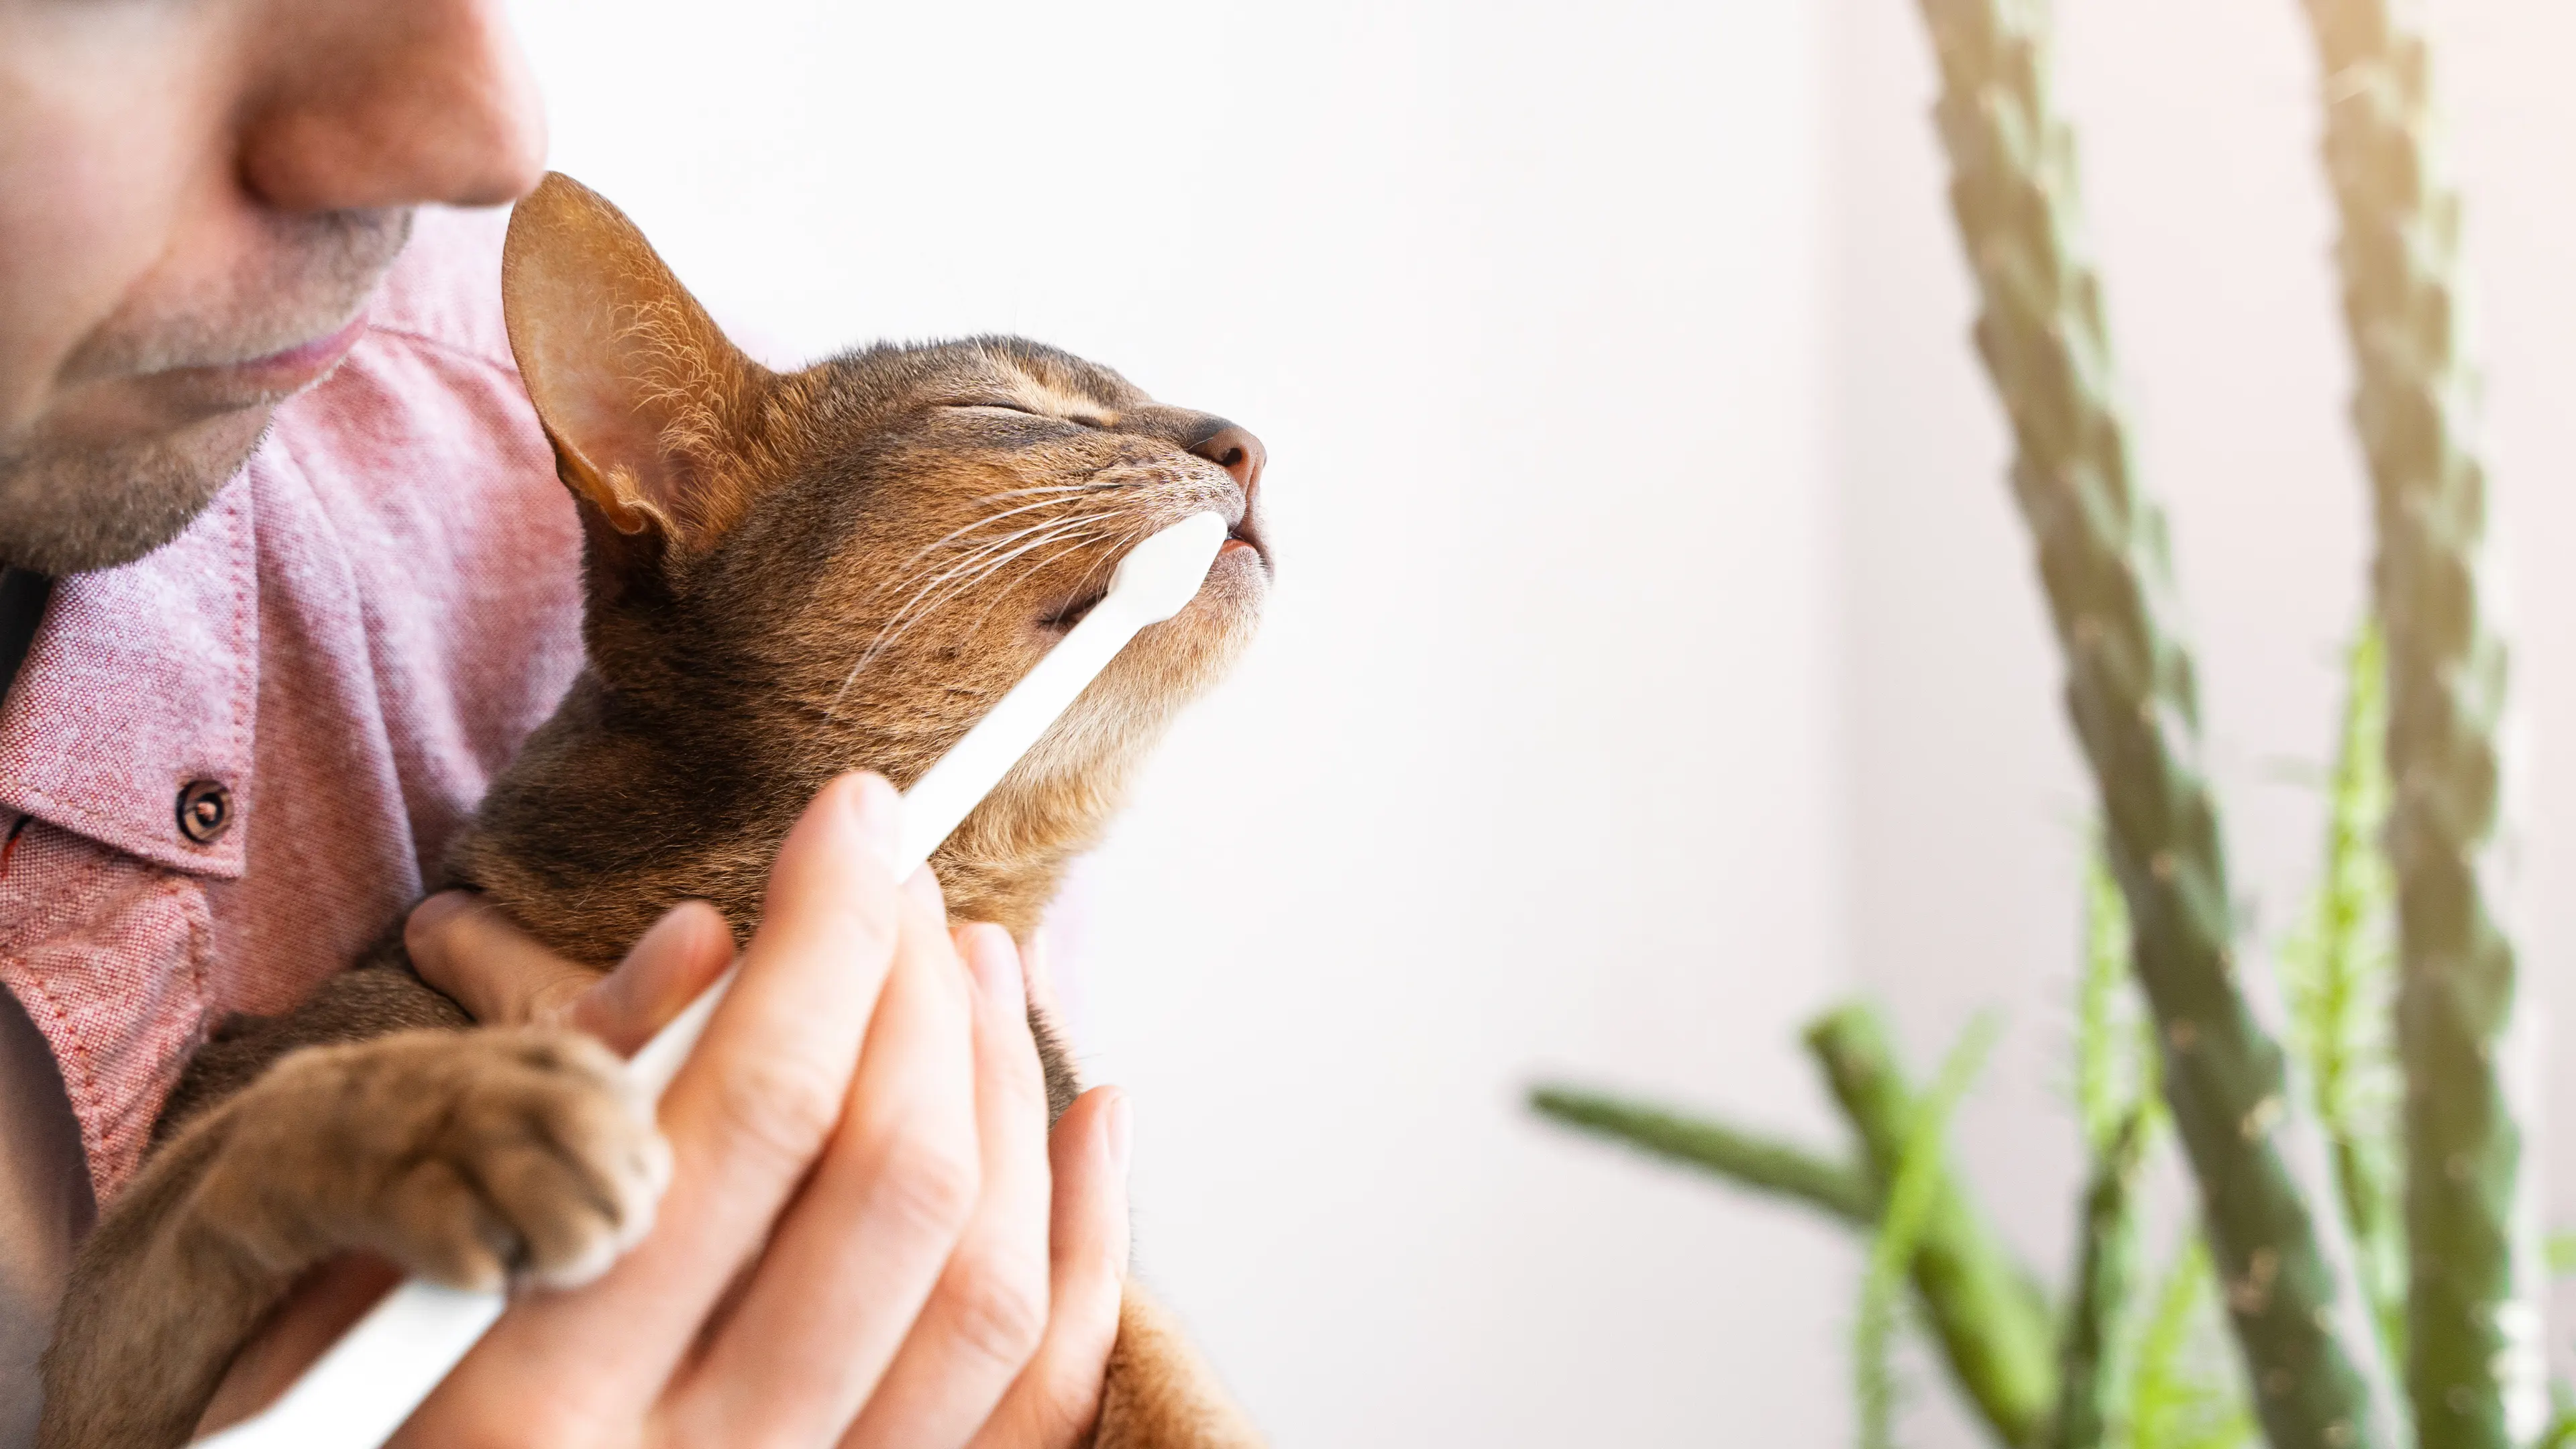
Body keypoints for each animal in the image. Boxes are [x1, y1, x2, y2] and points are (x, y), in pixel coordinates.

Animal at [35, 178, 1283, 1444]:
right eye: (1004, 406)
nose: (1251, 444)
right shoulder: (98, 1382)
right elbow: (240, 1148)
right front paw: (456, 1117)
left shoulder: (1122, 1313)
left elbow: (1183, 1393)